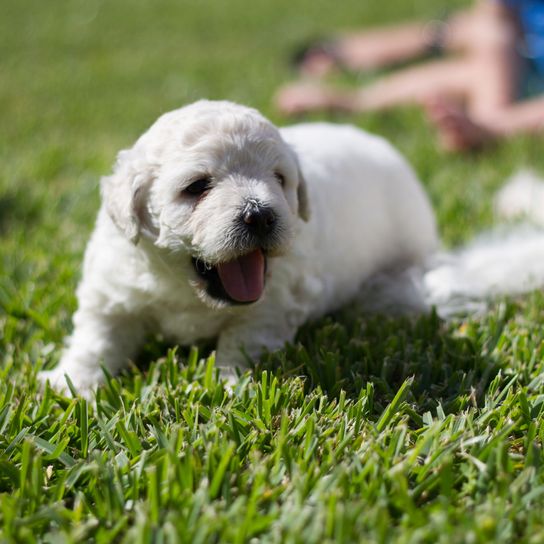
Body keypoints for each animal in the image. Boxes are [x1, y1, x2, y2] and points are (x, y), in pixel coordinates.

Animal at [39, 100, 438, 394]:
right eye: (197, 186)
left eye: (279, 178)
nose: (259, 216)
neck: (187, 290)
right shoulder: (112, 289)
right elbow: (96, 339)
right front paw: (69, 384)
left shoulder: (274, 302)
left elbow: (243, 340)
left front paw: (229, 385)